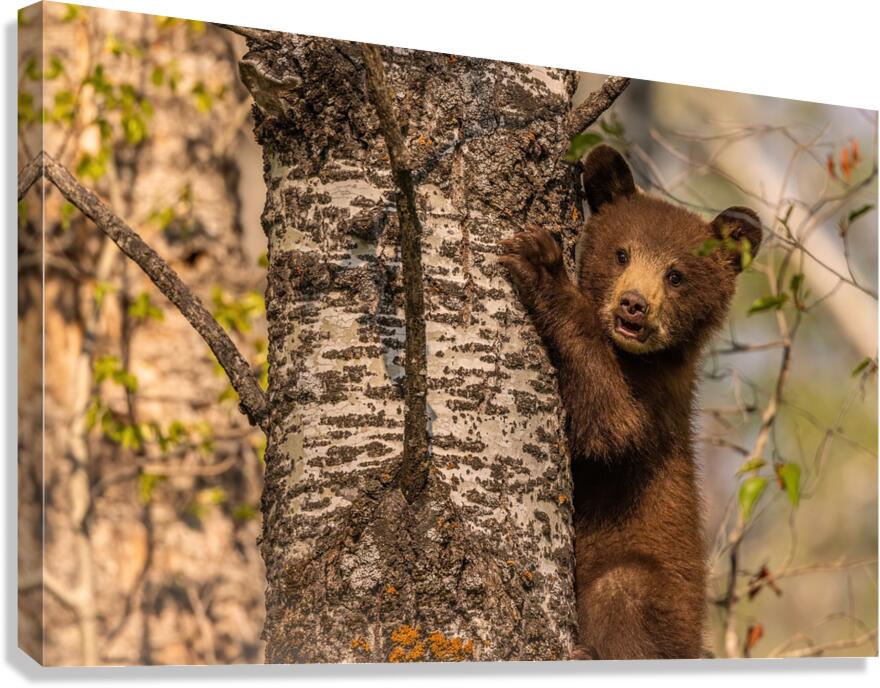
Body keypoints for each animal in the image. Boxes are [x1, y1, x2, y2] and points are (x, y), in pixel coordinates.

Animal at [499, 145, 762, 660]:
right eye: (622, 253)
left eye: (676, 275)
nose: (634, 305)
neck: (638, 358)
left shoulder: (655, 400)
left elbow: (610, 425)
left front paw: (542, 266)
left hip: (658, 597)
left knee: (622, 592)